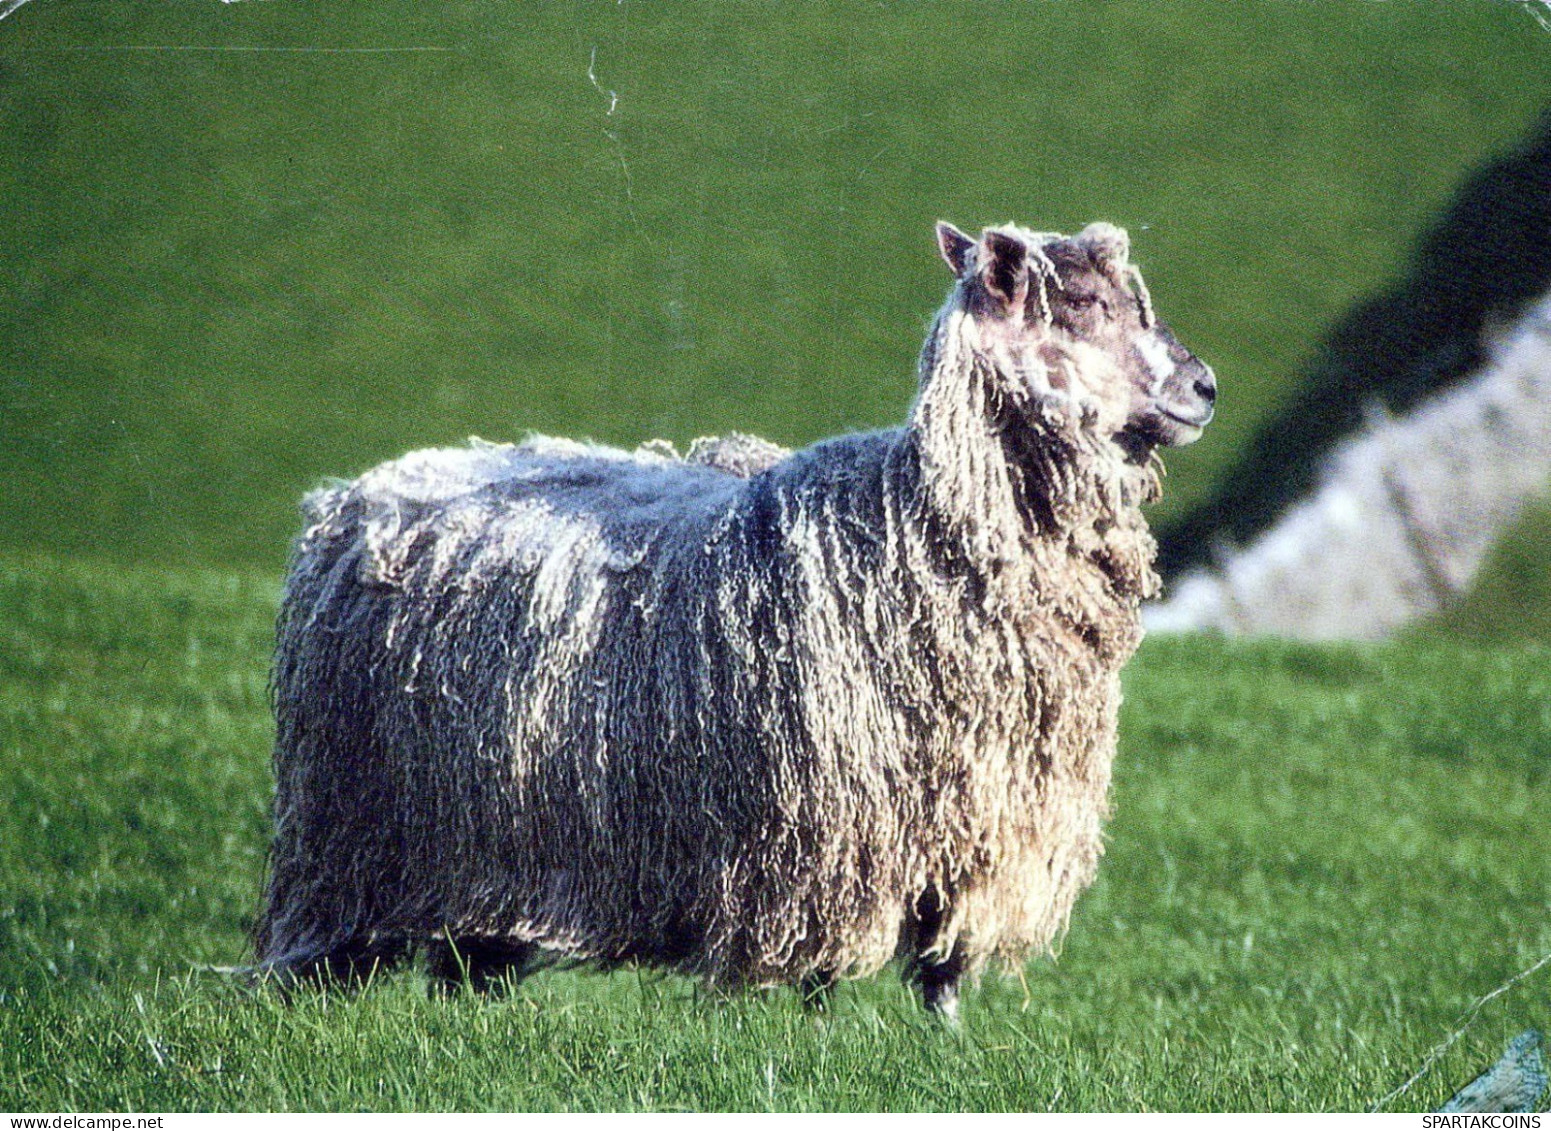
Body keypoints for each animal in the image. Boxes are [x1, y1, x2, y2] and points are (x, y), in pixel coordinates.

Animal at [254, 220, 1215, 1017]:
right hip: (355, 834)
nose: (1205, 386)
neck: (915, 527)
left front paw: (946, 1050)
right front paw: (821, 1043)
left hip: (492, 836)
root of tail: (358, 491)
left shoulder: (984, 825)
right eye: (1082, 304)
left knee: (470, 958)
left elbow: (941, 969)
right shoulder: (826, 832)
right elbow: (822, 978)